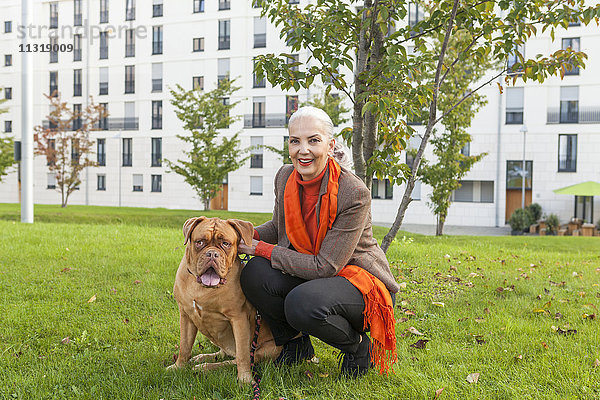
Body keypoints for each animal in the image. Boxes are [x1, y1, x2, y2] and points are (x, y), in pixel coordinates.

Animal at [169, 219, 282, 384]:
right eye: (200, 242)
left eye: (226, 244)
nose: (212, 254)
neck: (203, 288)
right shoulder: (186, 316)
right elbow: (184, 346)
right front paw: (178, 367)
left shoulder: (239, 319)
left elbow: (242, 356)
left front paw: (245, 379)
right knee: (223, 353)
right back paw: (203, 358)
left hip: (269, 349)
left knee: (235, 360)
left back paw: (206, 367)